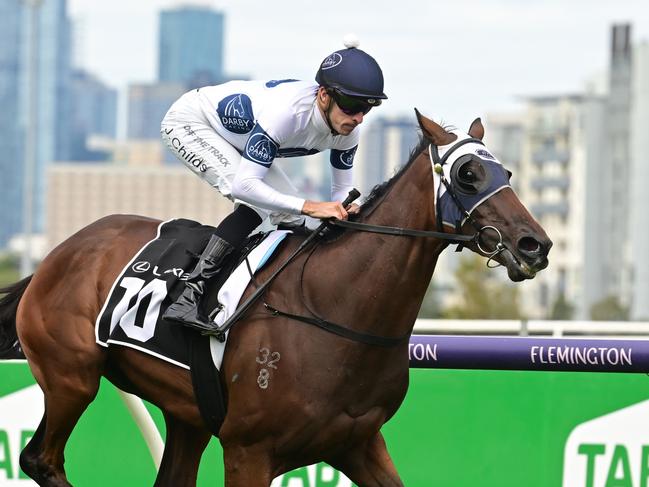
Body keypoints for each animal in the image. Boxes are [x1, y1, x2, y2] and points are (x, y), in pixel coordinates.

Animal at [0, 112, 552, 486]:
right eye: (467, 175)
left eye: (506, 174)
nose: (536, 245)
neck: (333, 308)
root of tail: (56, 255)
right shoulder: (249, 451)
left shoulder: (358, 443)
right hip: (72, 377)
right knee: (40, 459)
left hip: (186, 414)